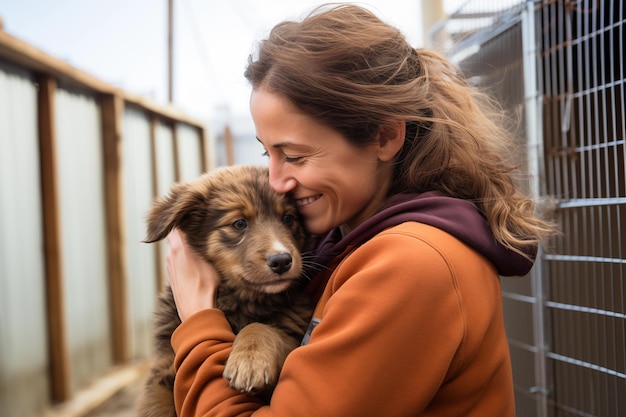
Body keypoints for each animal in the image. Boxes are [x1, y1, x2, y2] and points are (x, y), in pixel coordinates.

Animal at [135, 165, 312, 416]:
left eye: (288, 219)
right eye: (239, 224)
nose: (281, 261)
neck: (239, 301)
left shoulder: (292, 337)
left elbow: (261, 327)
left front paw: (249, 361)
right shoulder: (165, 368)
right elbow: (157, 404)